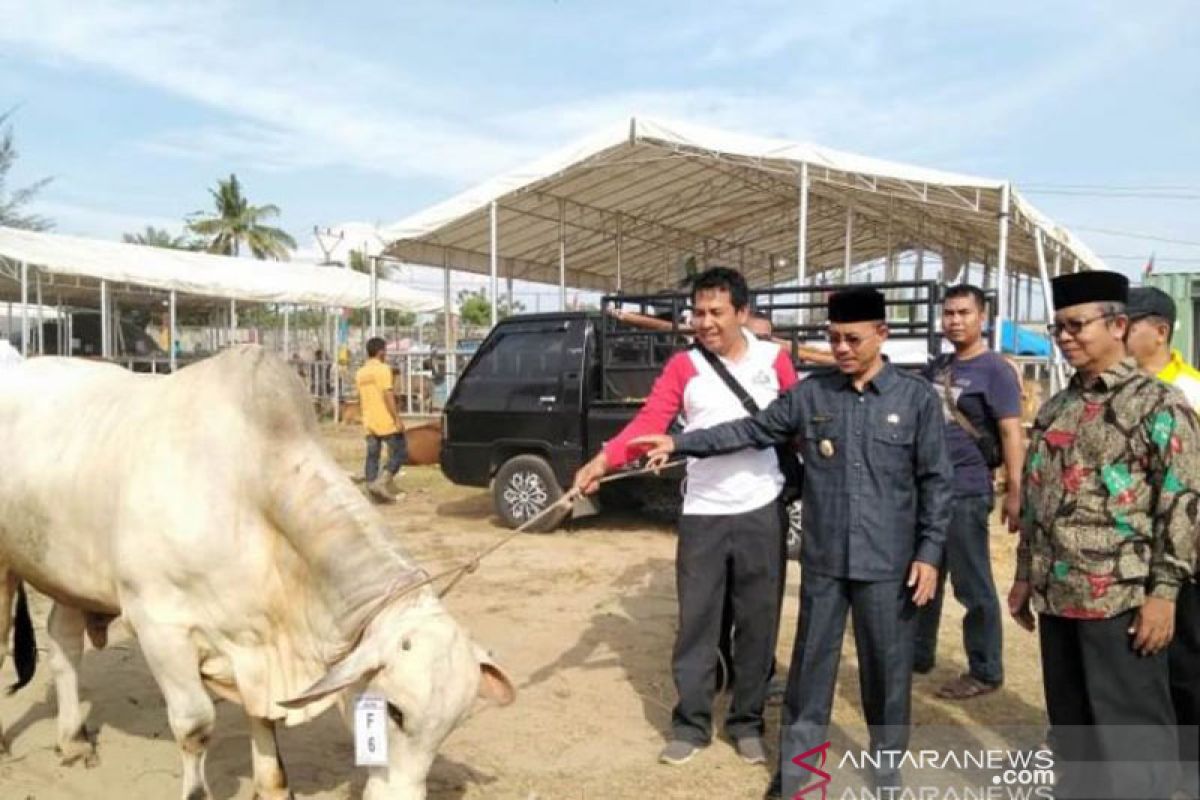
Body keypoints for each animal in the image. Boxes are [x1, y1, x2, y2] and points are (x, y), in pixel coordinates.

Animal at [0, 347, 511, 796]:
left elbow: (262, 718)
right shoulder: (159, 623)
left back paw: (73, 740)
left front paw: (272, 786)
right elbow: (194, 725)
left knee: (63, 644)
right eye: (397, 713)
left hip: (65, 572)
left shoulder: (256, 644)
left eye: (454, 723)